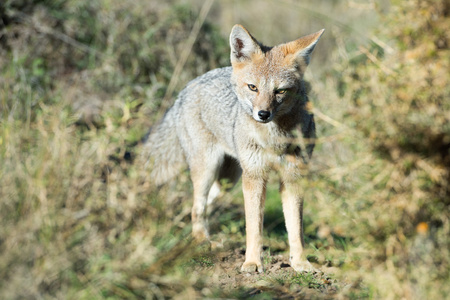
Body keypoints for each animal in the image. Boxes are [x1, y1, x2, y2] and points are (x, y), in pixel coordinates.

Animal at [144, 24, 324, 274]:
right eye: (253, 87)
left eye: (280, 91)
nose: (263, 114)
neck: (275, 139)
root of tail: (189, 85)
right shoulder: (255, 177)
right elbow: (254, 227)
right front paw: (252, 263)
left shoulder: (293, 176)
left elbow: (296, 229)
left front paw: (300, 263)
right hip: (209, 169)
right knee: (196, 207)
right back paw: (202, 240)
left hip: (229, 179)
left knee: (201, 203)